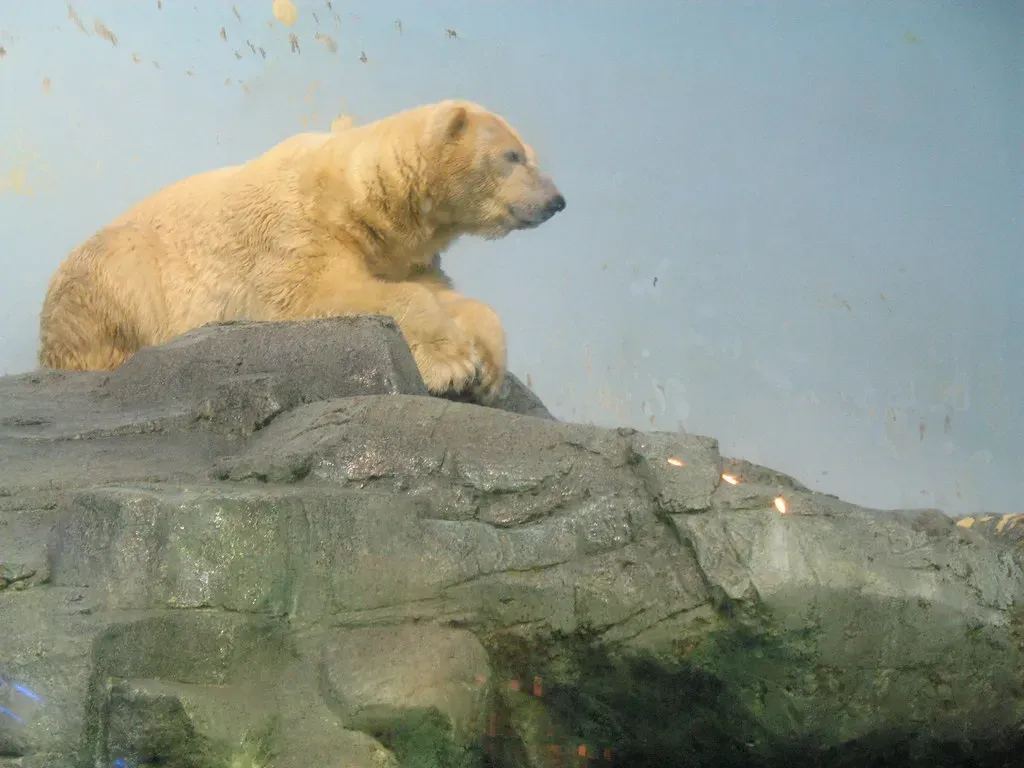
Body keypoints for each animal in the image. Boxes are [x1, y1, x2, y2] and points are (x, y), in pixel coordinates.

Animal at [37, 99, 565, 402]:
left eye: (530, 154)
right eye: (512, 156)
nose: (557, 201)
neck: (360, 198)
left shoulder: (401, 251)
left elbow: (446, 294)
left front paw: (490, 368)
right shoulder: (294, 233)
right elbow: (321, 293)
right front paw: (452, 367)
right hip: (117, 272)